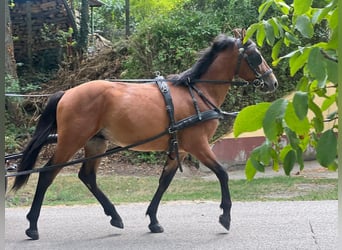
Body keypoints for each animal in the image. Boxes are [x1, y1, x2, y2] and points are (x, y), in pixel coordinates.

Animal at [12, 30, 278, 239]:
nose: (273, 82)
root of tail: (66, 93)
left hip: (96, 143)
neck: (197, 92)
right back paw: (32, 225)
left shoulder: (179, 149)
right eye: (256, 56)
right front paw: (225, 216)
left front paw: (153, 220)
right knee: (47, 174)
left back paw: (115, 216)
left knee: (87, 176)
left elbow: (164, 182)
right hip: (71, 141)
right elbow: (222, 173)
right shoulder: (197, 144)